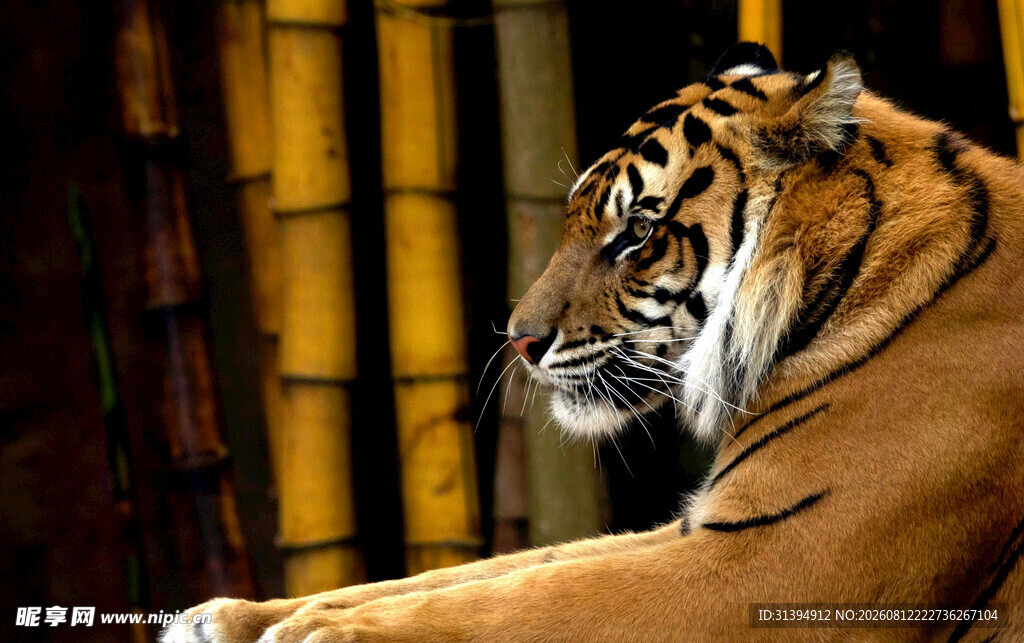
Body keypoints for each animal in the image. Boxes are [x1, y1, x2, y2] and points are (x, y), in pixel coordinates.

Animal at [165, 43, 1024, 642]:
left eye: (636, 233)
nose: (517, 339)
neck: (850, 280)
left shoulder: (767, 562)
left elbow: (520, 602)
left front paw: (314, 631)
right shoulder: (703, 528)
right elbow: (493, 572)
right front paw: (230, 614)